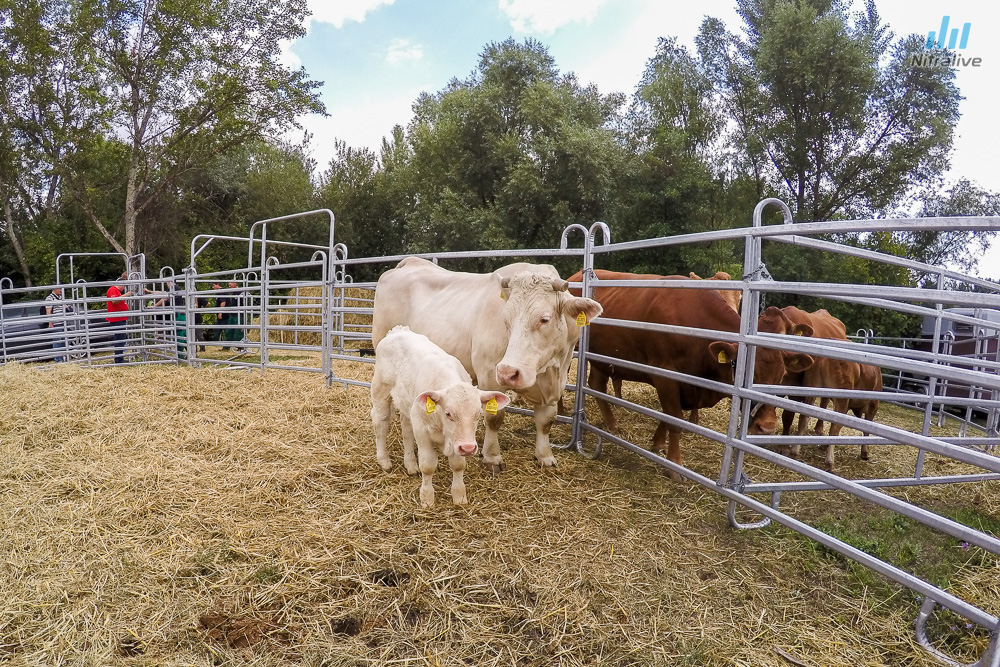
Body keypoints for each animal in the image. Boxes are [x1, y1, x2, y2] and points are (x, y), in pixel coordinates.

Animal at [370, 258, 596, 472]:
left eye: (544, 319)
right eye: (505, 319)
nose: (507, 372)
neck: (547, 370)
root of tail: (410, 262)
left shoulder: (554, 384)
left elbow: (546, 421)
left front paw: (545, 456)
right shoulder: (489, 375)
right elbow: (494, 418)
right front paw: (492, 457)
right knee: (381, 414)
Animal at [370, 326, 512, 508]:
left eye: (478, 414)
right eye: (448, 413)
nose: (469, 448)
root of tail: (398, 330)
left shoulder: (459, 440)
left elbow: (458, 465)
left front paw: (459, 496)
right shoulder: (422, 432)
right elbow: (428, 466)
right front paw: (427, 499)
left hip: (408, 406)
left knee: (406, 430)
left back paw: (410, 465)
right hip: (381, 391)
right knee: (380, 423)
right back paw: (384, 461)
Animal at [568, 268, 816, 478]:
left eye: (780, 377)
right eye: (746, 374)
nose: (767, 427)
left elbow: (668, 416)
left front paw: (658, 444)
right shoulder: (665, 376)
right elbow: (675, 419)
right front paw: (674, 465)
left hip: (600, 358)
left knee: (597, 385)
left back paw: (612, 425)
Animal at [776, 308, 880, 470]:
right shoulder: (873, 404)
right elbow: (866, 427)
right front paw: (864, 452)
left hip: (812, 389)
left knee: (806, 417)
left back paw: (796, 449)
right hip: (841, 398)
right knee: (835, 425)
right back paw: (829, 461)